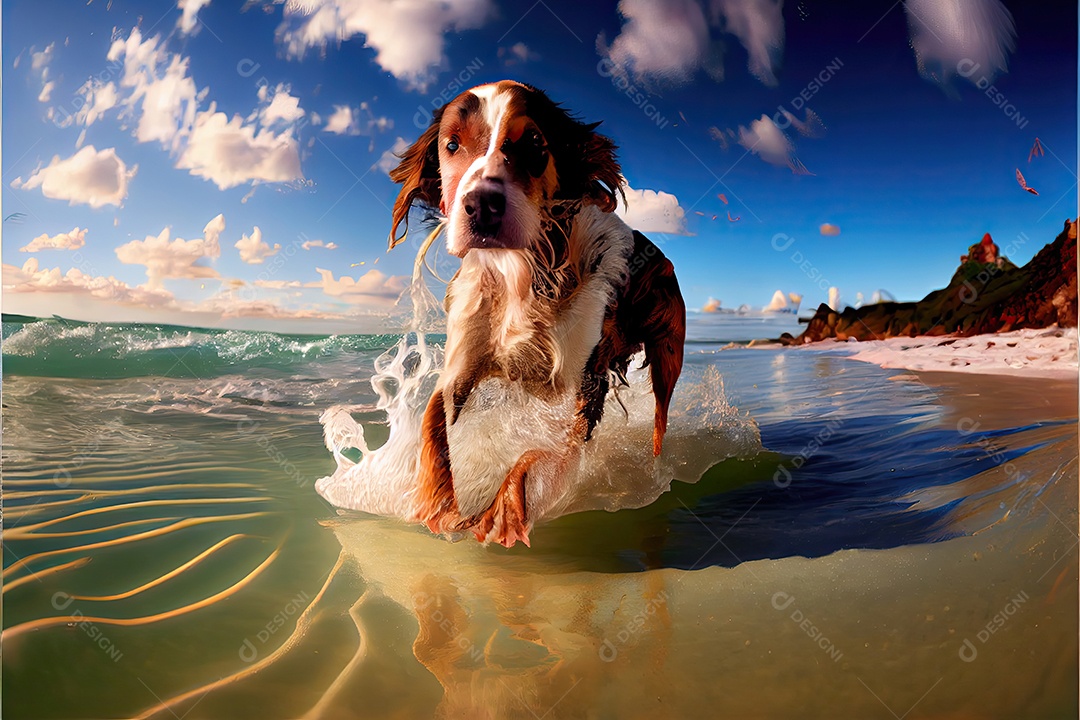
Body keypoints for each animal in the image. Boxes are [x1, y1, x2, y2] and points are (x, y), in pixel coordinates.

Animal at [388, 80, 682, 546]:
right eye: (452, 145)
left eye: (533, 144)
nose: (481, 205)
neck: (520, 277)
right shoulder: (461, 364)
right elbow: (434, 423)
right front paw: (436, 506)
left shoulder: (581, 382)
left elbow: (541, 452)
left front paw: (502, 512)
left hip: (667, 359)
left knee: (659, 421)